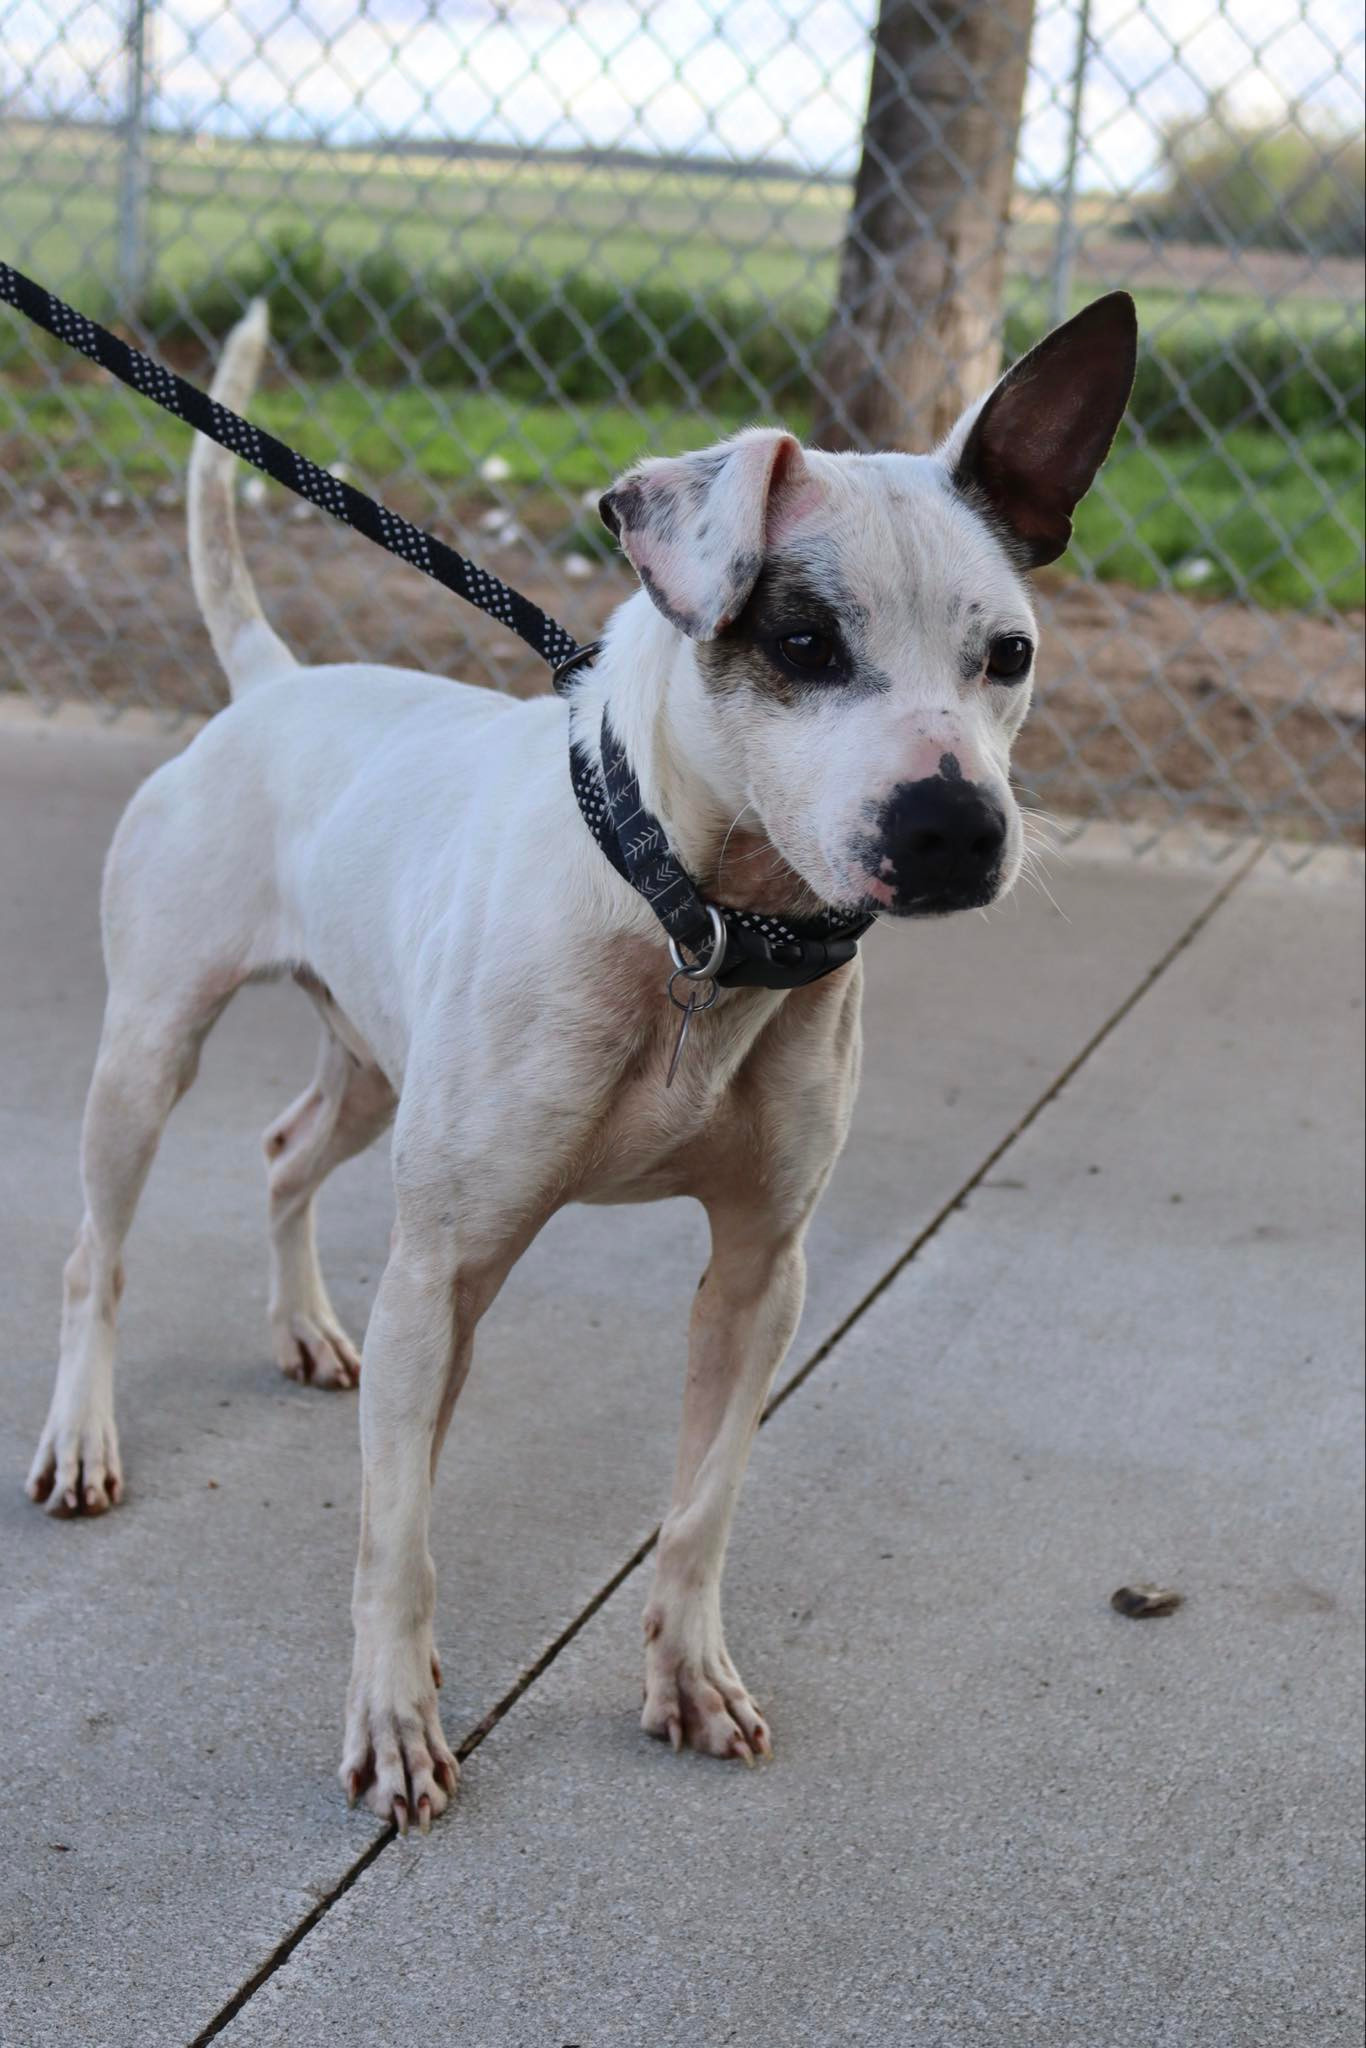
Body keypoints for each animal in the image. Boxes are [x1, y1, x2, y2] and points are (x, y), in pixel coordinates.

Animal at [26, 284, 1138, 1826]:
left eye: (1009, 655)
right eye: (803, 643)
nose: (954, 829)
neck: (698, 918)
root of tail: (271, 685)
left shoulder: (761, 1274)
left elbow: (700, 1504)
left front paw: (686, 1676)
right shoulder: (443, 1269)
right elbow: (397, 1532)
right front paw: (394, 1716)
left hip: (372, 1071)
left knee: (283, 1152)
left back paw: (305, 1326)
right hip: (147, 1054)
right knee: (99, 1253)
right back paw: (84, 1437)